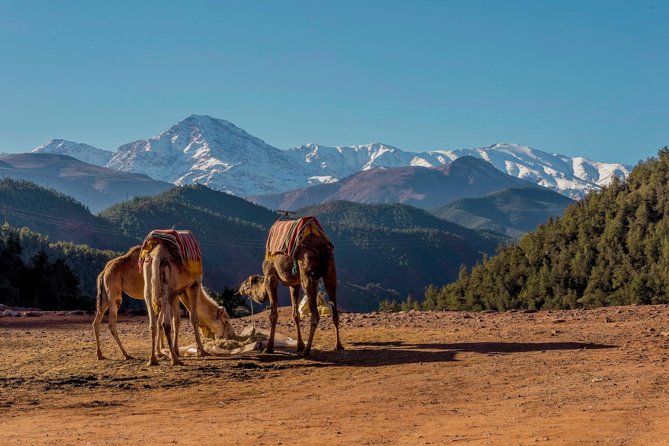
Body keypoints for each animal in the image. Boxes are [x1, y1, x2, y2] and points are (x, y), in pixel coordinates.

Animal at [91, 246, 232, 360]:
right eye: (226, 321)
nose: (231, 336)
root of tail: (104, 271)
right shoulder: (175, 293)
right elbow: (170, 321)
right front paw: (165, 351)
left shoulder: (174, 295)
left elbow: (169, 321)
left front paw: (164, 350)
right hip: (114, 292)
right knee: (111, 323)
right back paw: (126, 354)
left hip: (105, 296)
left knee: (96, 321)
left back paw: (100, 354)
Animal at [239, 216, 342, 356]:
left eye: (247, 284)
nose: (240, 289)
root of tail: (321, 247)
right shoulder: (294, 283)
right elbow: (295, 315)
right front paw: (299, 345)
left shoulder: (271, 277)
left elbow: (273, 315)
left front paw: (269, 348)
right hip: (331, 269)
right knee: (334, 307)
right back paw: (338, 346)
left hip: (306, 268)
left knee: (315, 314)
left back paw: (307, 351)